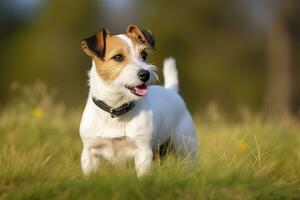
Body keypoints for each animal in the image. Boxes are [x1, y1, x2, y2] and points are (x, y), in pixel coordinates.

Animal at [78, 25, 198, 177]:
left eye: (144, 55)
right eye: (118, 57)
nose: (145, 74)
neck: (115, 109)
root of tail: (172, 91)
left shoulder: (143, 152)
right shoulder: (89, 153)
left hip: (186, 147)